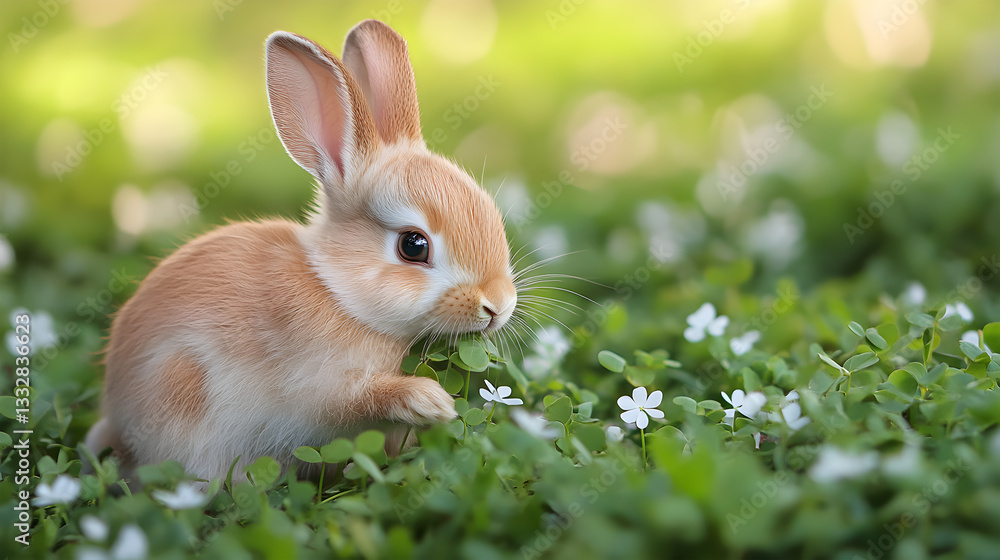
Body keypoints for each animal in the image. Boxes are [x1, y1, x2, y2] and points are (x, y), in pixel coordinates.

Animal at [84, 19, 518, 483]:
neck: (338, 292)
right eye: (413, 246)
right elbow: (359, 398)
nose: (499, 305)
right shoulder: (320, 388)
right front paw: (432, 403)